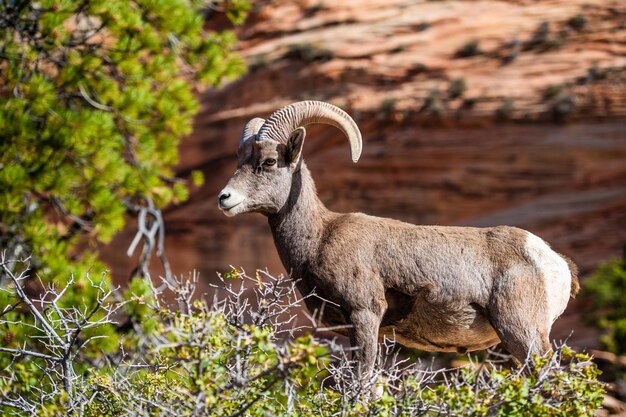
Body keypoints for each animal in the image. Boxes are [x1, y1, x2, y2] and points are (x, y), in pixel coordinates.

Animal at [217, 100, 576, 376]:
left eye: (268, 161)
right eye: (240, 160)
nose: (225, 198)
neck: (318, 239)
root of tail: (553, 262)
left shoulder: (365, 315)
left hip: (524, 335)